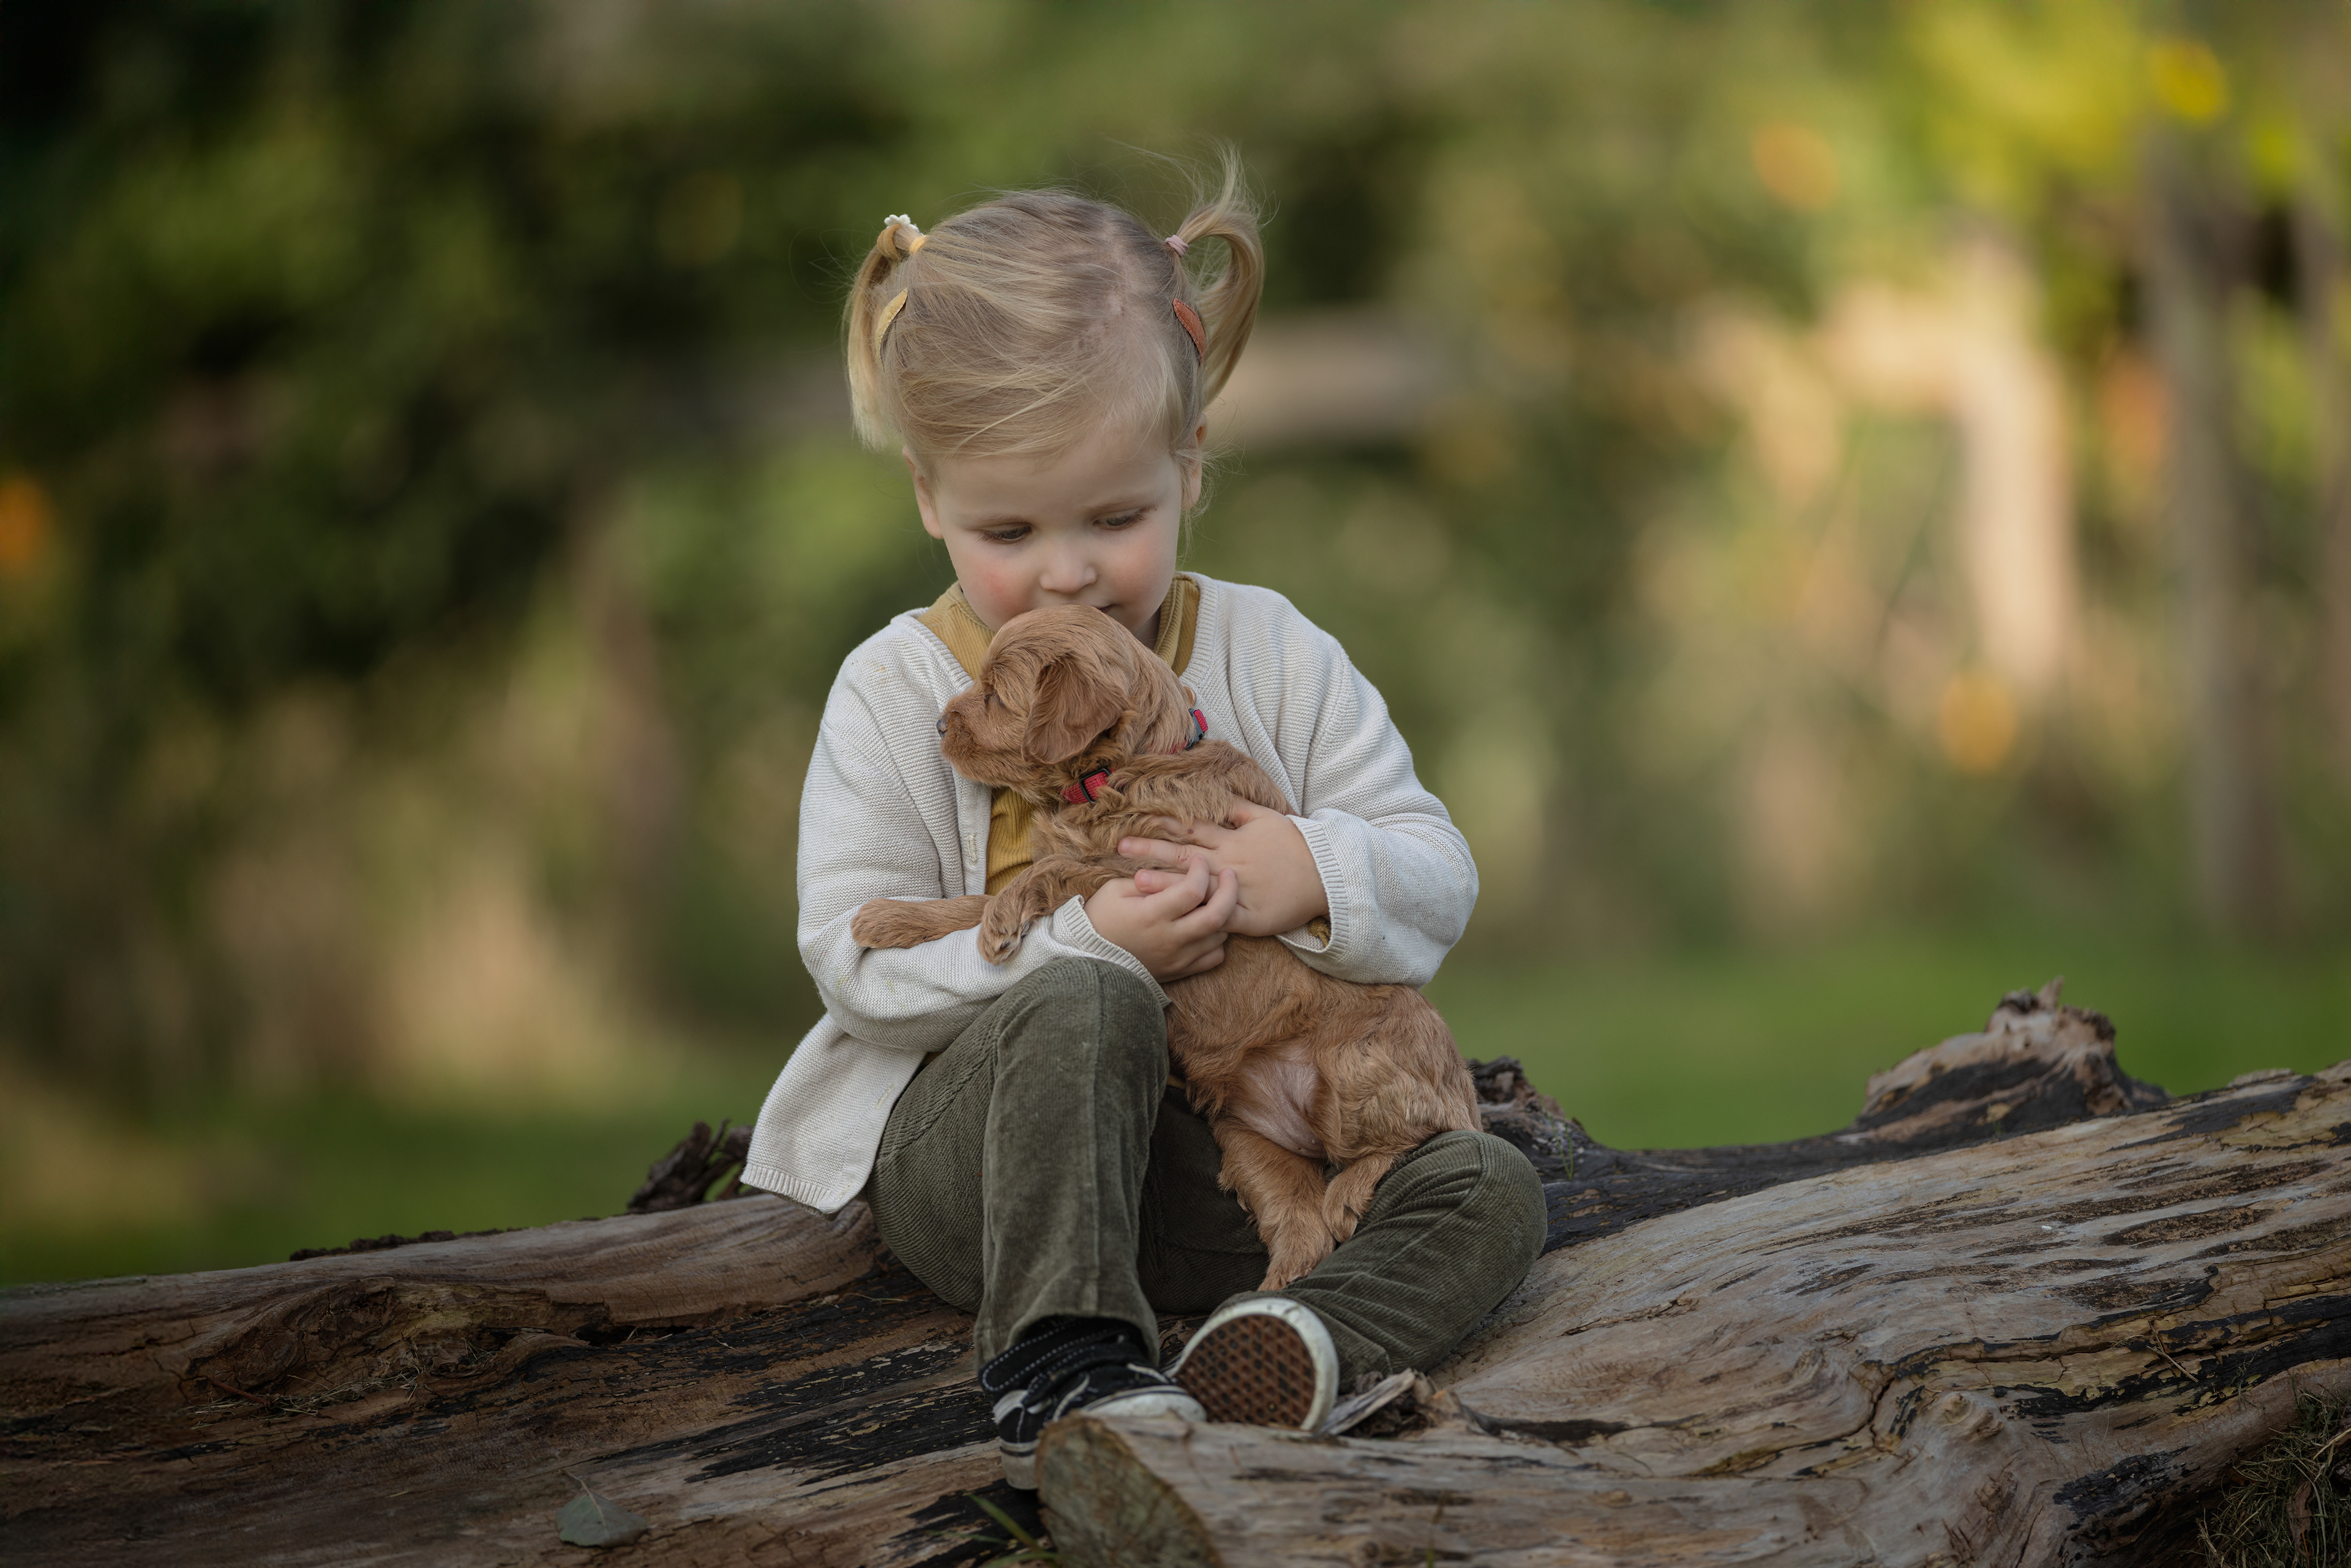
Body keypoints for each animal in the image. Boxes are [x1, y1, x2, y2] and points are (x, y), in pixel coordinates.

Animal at [851, 604, 1480, 1289]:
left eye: (995, 694)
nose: (939, 724)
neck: (1126, 770)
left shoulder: (1161, 866)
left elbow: (1056, 871)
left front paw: (1002, 916)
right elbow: (969, 902)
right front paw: (888, 918)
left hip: (1355, 1067)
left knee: (1430, 1135)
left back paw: (1351, 1191)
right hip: (1249, 1140)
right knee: (1302, 1226)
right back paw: (1273, 1293)